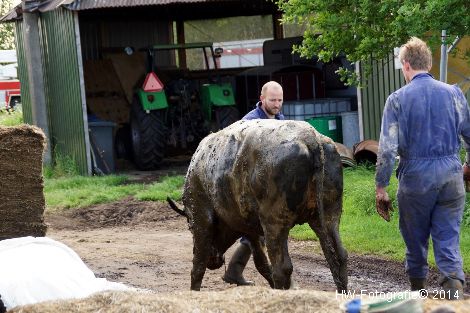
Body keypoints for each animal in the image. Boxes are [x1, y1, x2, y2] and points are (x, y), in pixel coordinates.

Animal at [171, 119, 346, 290]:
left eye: (189, 226)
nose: (213, 260)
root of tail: (310, 137)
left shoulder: (201, 220)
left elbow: (198, 267)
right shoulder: (251, 230)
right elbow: (261, 263)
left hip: (274, 224)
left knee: (282, 268)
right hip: (328, 217)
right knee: (339, 257)